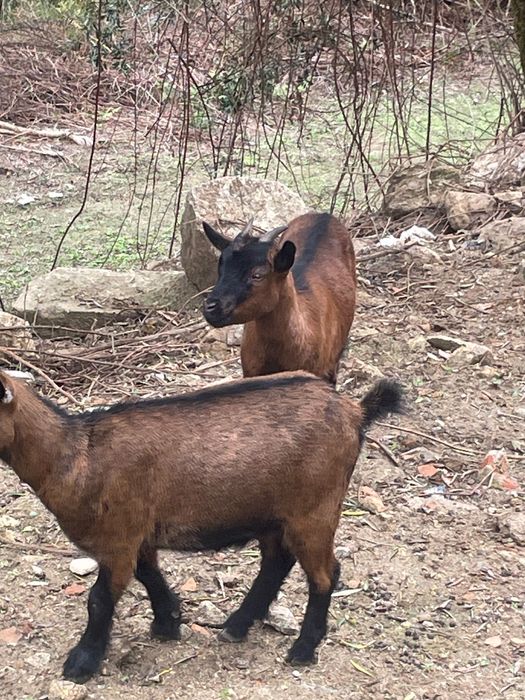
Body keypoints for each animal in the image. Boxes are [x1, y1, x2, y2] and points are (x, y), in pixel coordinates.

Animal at [0, 370, 401, 683]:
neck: (76, 456)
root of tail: (355, 410)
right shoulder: (138, 536)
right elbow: (149, 574)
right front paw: (169, 622)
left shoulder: (119, 539)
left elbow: (99, 601)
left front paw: (82, 662)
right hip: (274, 513)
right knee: (277, 562)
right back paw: (237, 625)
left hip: (315, 509)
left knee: (324, 574)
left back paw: (302, 648)